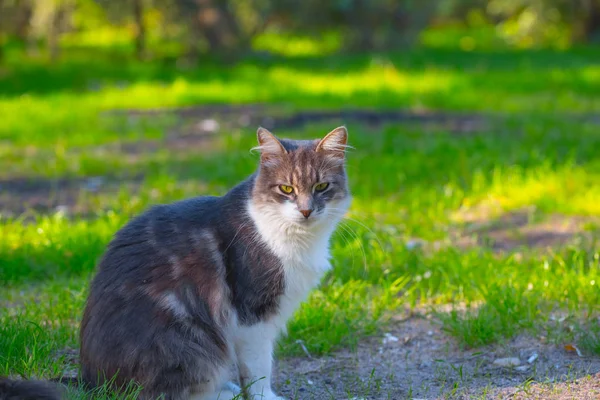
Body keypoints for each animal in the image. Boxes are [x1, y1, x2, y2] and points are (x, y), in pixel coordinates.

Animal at [1, 126, 352, 400]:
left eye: (321, 187)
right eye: (286, 189)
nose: (306, 210)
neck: (299, 240)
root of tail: (93, 382)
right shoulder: (251, 316)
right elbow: (258, 369)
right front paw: (264, 396)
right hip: (190, 344)